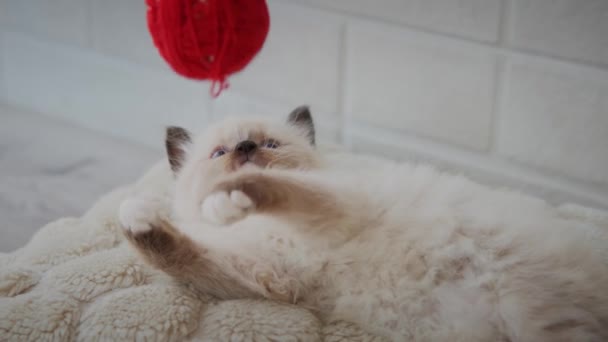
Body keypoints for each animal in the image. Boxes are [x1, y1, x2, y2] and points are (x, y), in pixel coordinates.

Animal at [121, 107, 608, 342]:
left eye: (269, 144)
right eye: (220, 153)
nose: (244, 148)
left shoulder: (334, 207)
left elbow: (277, 185)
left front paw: (228, 198)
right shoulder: (263, 273)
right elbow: (177, 253)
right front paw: (136, 218)